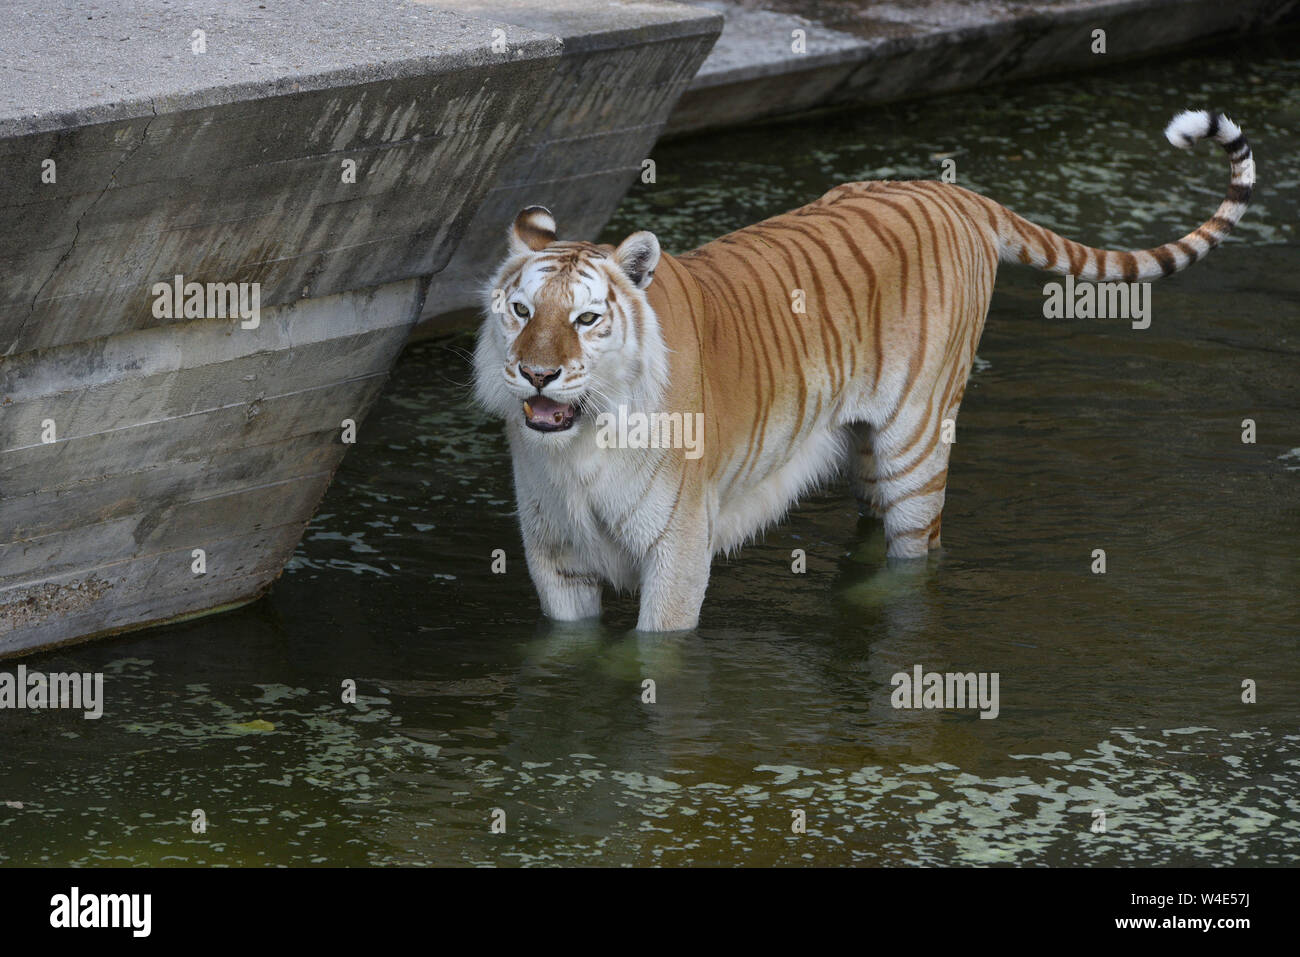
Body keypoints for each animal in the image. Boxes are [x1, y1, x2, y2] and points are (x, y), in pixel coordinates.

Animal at [473, 108, 1253, 631]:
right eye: (520, 310)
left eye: (585, 320)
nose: (537, 375)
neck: (579, 444)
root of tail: (952, 191)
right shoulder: (555, 556)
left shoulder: (677, 550)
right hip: (866, 448)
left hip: (917, 445)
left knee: (920, 554)